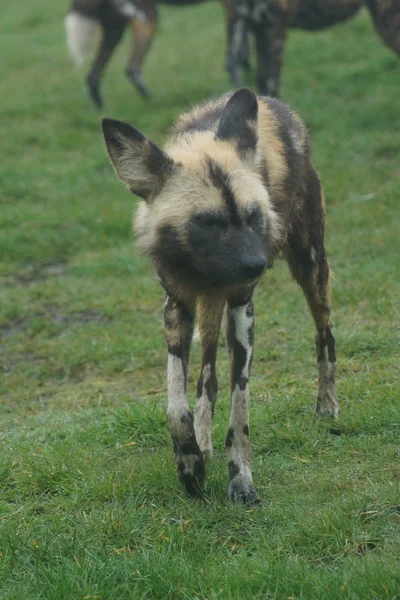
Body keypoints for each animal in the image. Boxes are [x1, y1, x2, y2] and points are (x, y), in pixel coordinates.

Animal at [100, 88, 338, 502]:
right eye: (208, 223)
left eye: (254, 215)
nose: (258, 263)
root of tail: (272, 100)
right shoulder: (177, 307)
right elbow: (175, 407)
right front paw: (190, 463)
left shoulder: (242, 308)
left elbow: (239, 411)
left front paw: (241, 481)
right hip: (209, 307)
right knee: (207, 378)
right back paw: (203, 445)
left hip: (309, 269)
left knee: (324, 335)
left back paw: (327, 405)